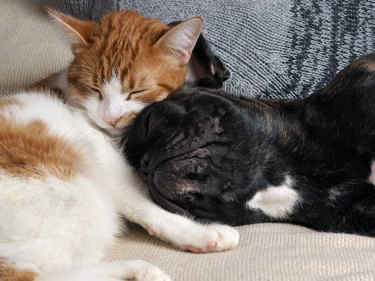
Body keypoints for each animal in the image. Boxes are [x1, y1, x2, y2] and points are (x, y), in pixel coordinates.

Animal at [0, 8, 241, 280]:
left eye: (136, 92)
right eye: (94, 89)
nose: (111, 117)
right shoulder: (110, 171)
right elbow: (145, 206)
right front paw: (200, 233)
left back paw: (137, 271)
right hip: (77, 191)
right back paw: (138, 269)